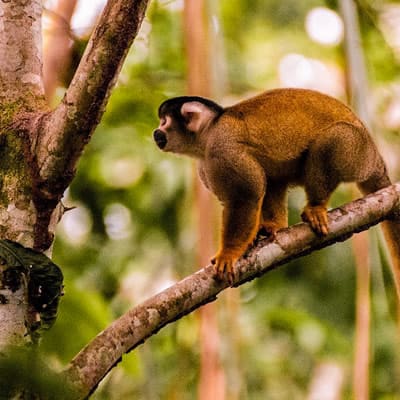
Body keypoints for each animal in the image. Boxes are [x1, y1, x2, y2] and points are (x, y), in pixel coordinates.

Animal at [152, 87, 400, 290]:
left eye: (164, 122)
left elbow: (246, 195)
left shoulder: (223, 149)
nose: (156, 132)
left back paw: (316, 206)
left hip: (357, 151)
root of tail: (375, 157)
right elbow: (257, 188)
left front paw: (229, 252)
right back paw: (275, 225)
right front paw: (253, 237)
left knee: (333, 139)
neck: (207, 136)